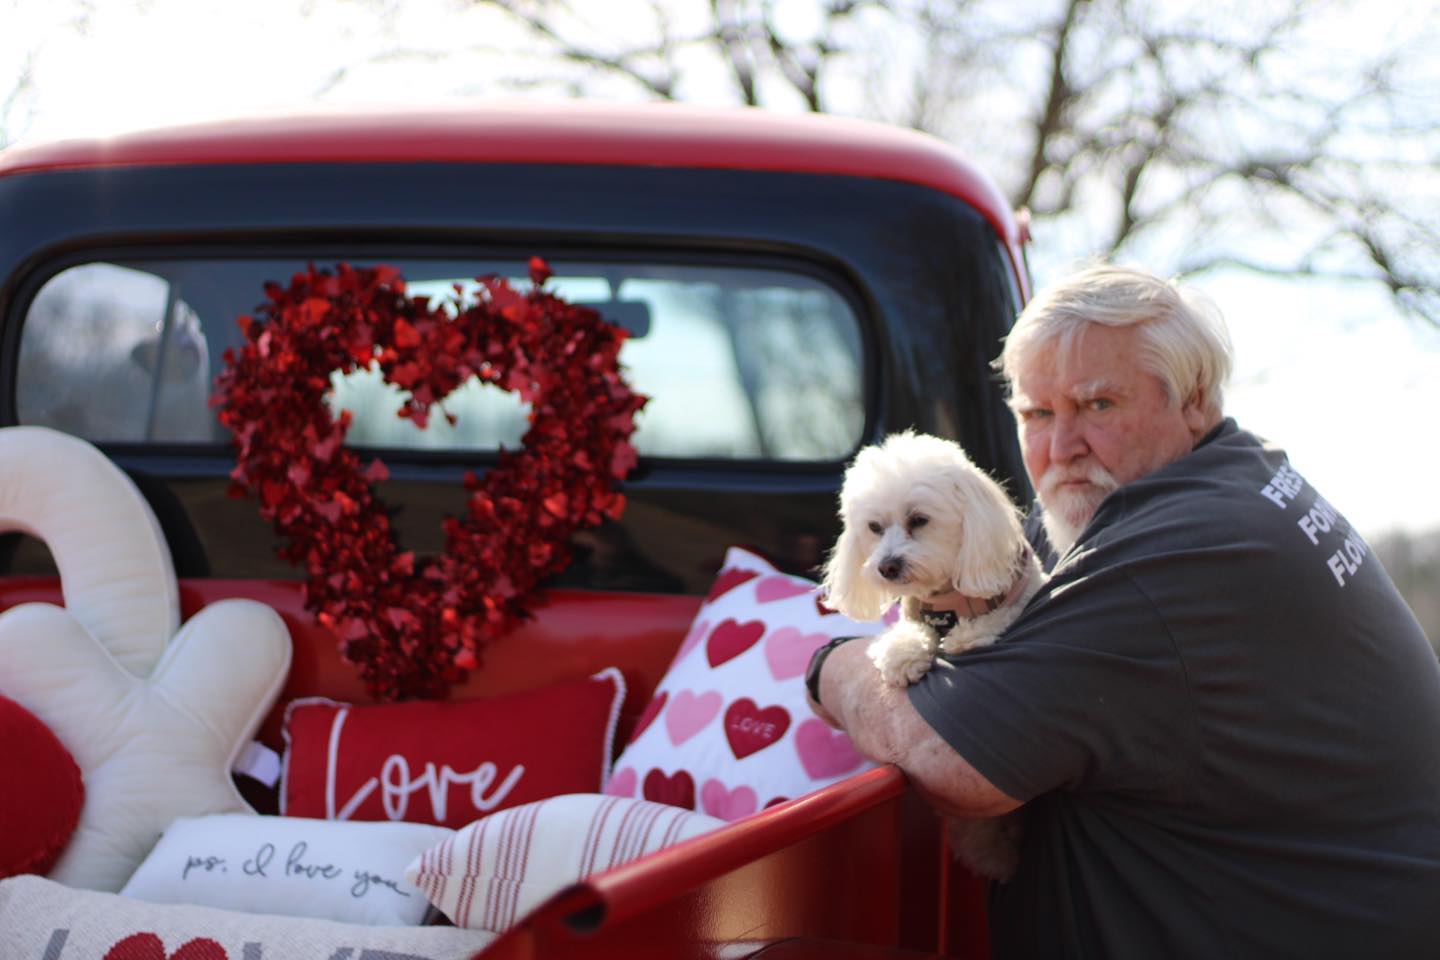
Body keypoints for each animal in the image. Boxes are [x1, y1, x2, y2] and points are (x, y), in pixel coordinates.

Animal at [823, 431, 1048, 687]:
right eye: (874, 527)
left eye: (919, 520)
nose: (887, 567)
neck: (945, 597)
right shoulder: (914, 615)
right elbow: (909, 630)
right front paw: (902, 652)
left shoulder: (1023, 593)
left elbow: (1003, 613)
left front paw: (968, 635)